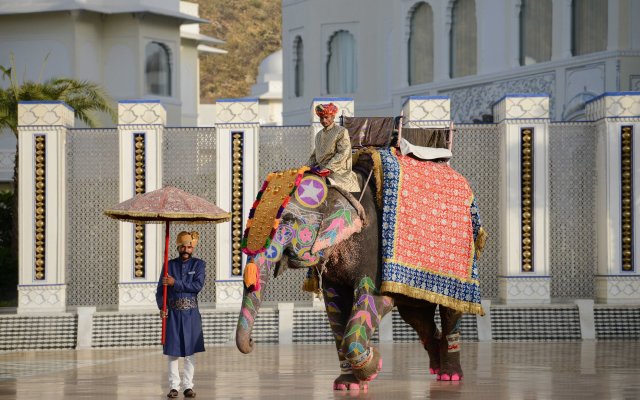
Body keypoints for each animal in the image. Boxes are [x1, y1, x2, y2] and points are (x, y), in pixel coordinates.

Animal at [235, 148, 484, 390]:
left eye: (287, 220)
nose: (252, 342)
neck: (337, 186)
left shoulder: (372, 246)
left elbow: (373, 299)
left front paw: (374, 368)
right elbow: (335, 305)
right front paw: (348, 385)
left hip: (464, 256)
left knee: (451, 310)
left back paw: (449, 375)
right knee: (416, 316)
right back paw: (435, 364)